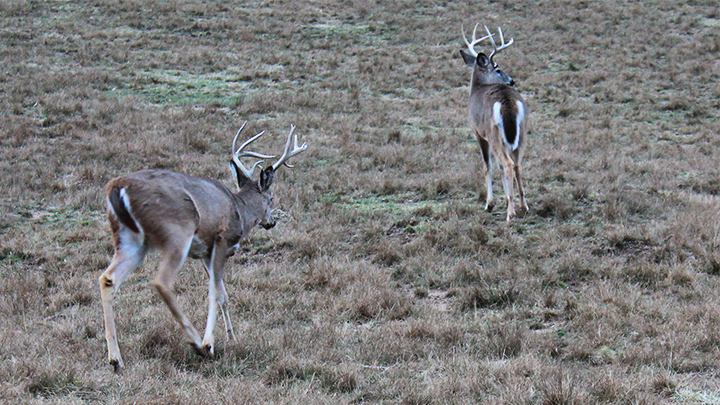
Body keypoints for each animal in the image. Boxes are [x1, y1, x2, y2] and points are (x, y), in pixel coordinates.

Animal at [97, 121, 306, 370]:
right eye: (271, 198)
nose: (271, 222)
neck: (239, 210)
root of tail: (118, 187)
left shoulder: (205, 253)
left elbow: (223, 293)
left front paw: (232, 337)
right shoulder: (221, 239)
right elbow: (214, 291)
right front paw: (210, 343)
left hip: (130, 240)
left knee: (108, 278)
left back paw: (115, 359)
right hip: (177, 231)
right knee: (161, 282)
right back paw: (197, 344)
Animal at [462, 23, 528, 221]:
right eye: (498, 69)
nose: (512, 80)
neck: (476, 89)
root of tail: (506, 100)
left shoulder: (478, 132)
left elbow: (488, 165)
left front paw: (489, 204)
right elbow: (497, 166)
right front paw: (506, 199)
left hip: (494, 133)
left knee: (507, 164)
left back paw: (510, 214)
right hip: (522, 132)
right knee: (516, 164)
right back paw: (523, 206)